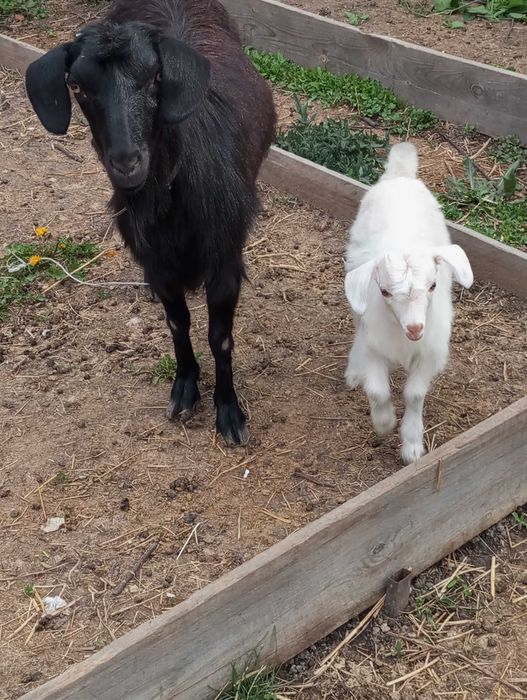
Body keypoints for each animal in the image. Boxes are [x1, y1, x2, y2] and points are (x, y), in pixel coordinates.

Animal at [25, 0, 276, 445]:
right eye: (78, 87)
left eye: (156, 77)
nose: (127, 163)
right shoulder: (157, 264)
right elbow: (178, 323)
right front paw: (185, 388)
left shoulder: (224, 259)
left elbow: (220, 338)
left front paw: (229, 413)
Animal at [344, 142, 473, 465]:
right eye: (385, 292)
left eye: (433, 285)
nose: (415, 328)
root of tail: (400, 174)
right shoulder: (374, 347)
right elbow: (377, 391)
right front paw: (384, 423)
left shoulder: (430, 352)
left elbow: (414, 394)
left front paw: (412, 446)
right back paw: (353, 371)